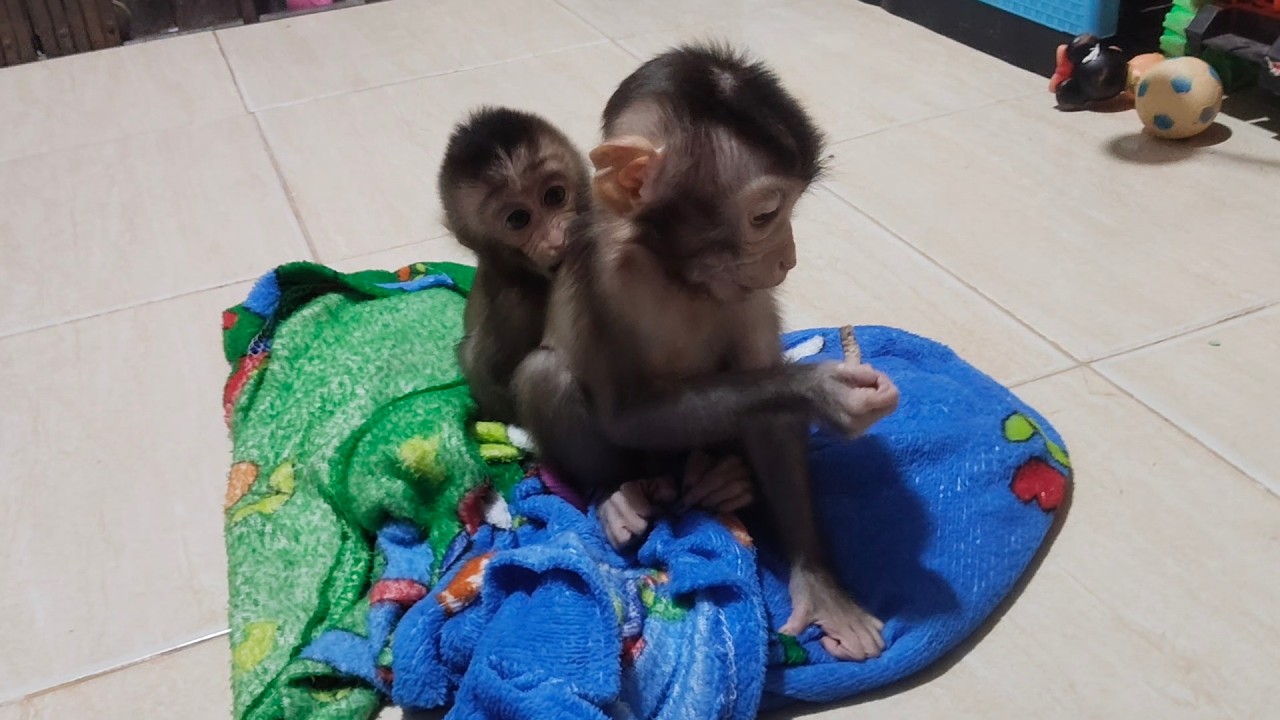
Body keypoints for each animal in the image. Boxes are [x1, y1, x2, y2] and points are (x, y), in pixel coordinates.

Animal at [513, 43, 901, 661]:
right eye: (765, 214)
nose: (788, 258)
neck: (674, 270)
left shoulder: (746, 287)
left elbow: (768, 402)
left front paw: (821, 585)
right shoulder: (604, 272)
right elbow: (624, 412)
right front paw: (821, 389)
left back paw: (725, 481)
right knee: (545, 373)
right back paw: (617, 497)